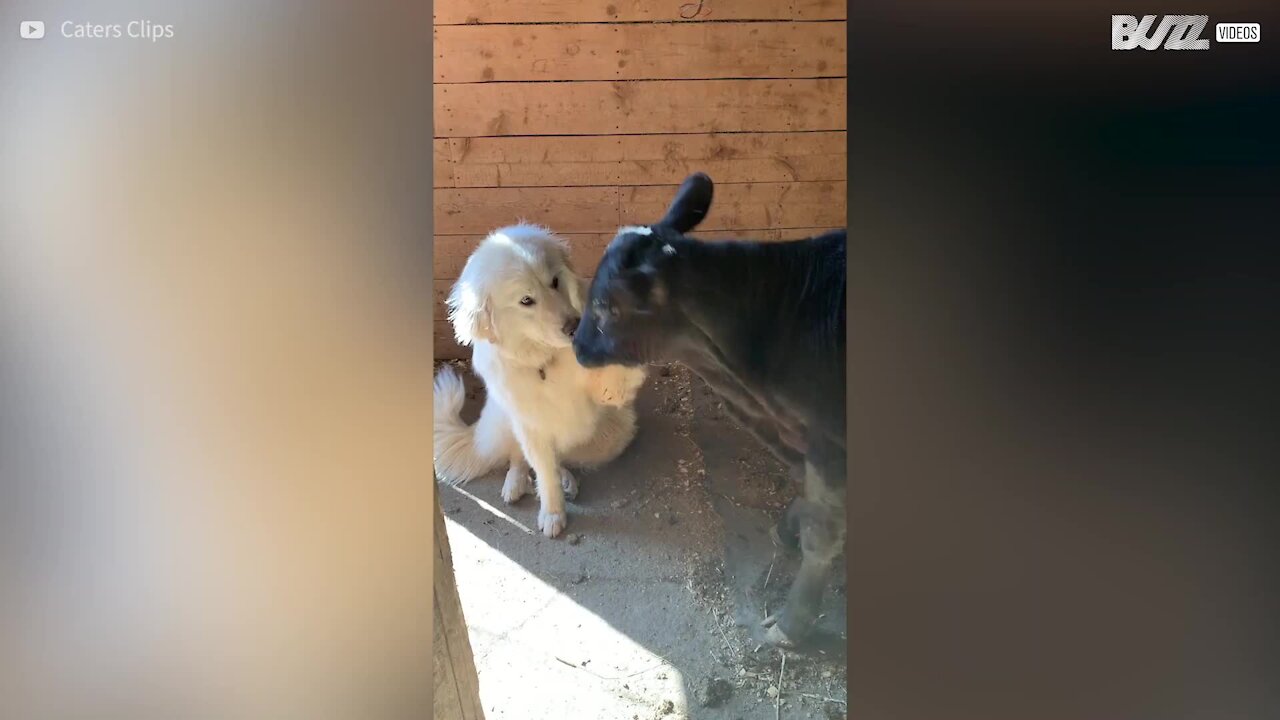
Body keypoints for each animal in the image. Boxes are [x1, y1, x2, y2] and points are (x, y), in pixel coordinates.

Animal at [432, 221, 650, 535]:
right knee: (521, 458)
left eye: (555, 281)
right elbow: (544, 472)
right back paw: (515, 484)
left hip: (613, 433)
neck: (547, 360)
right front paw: (552, 514)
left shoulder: (606, 390)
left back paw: (567, 480)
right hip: (506, 421)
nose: (574, 327)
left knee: (564, 457)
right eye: (526, 300)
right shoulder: (531, 424)